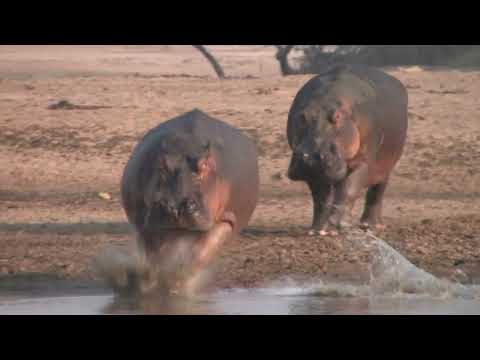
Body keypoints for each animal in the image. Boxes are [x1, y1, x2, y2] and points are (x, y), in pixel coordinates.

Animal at [122, 109, 260, 292]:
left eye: (204, 166)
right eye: (162, 165)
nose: (174, 206)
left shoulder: (226, 220)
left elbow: (201, 251)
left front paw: (176, 283)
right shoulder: (144, 221)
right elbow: (153, 255)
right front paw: (150, 283)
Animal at [286, 64, 406, 235]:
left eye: (337, 117)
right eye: (302, 117)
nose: (311, 156)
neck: (326, 100)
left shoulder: (363, 161)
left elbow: (349, 190)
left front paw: (334, 224)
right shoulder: (313, 173)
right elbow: (320, 198)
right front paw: (317, 230)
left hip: (386, 165)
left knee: (376, 192)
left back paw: (370, 225)